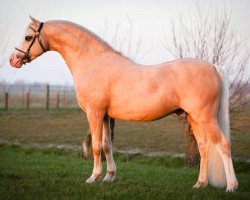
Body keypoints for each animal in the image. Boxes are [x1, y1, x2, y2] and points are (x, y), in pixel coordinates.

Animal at [8, 16, 237, 191]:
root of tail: (213, 67)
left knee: (223, 145)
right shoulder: (106, 115)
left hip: (205, 118)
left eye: (28, 37)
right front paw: (109, 177)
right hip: (194, 118)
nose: (13, 60)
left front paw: (93, 178)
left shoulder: (94, 113)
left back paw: (231, 186)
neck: (93, 62)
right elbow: (107, 145)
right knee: (204, 147)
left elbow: (96, 146)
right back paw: (199, 184)